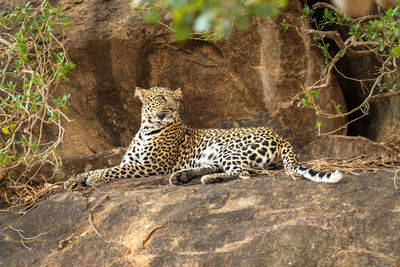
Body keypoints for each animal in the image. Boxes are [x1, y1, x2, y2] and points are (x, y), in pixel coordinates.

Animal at [63, 87, 344, 189]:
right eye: (161, 97)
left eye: (176, 100)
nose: (172, 108)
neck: (145, 128)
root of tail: (277, 134)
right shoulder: (132, 161)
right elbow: (104, 166)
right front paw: (74, 179)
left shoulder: (152, 165)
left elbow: (112, 171)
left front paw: (93, 178)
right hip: (218, 153)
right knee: (224, 168)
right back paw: (183, 176)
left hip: (230, 149)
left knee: (243, 174)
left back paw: (207, 179)